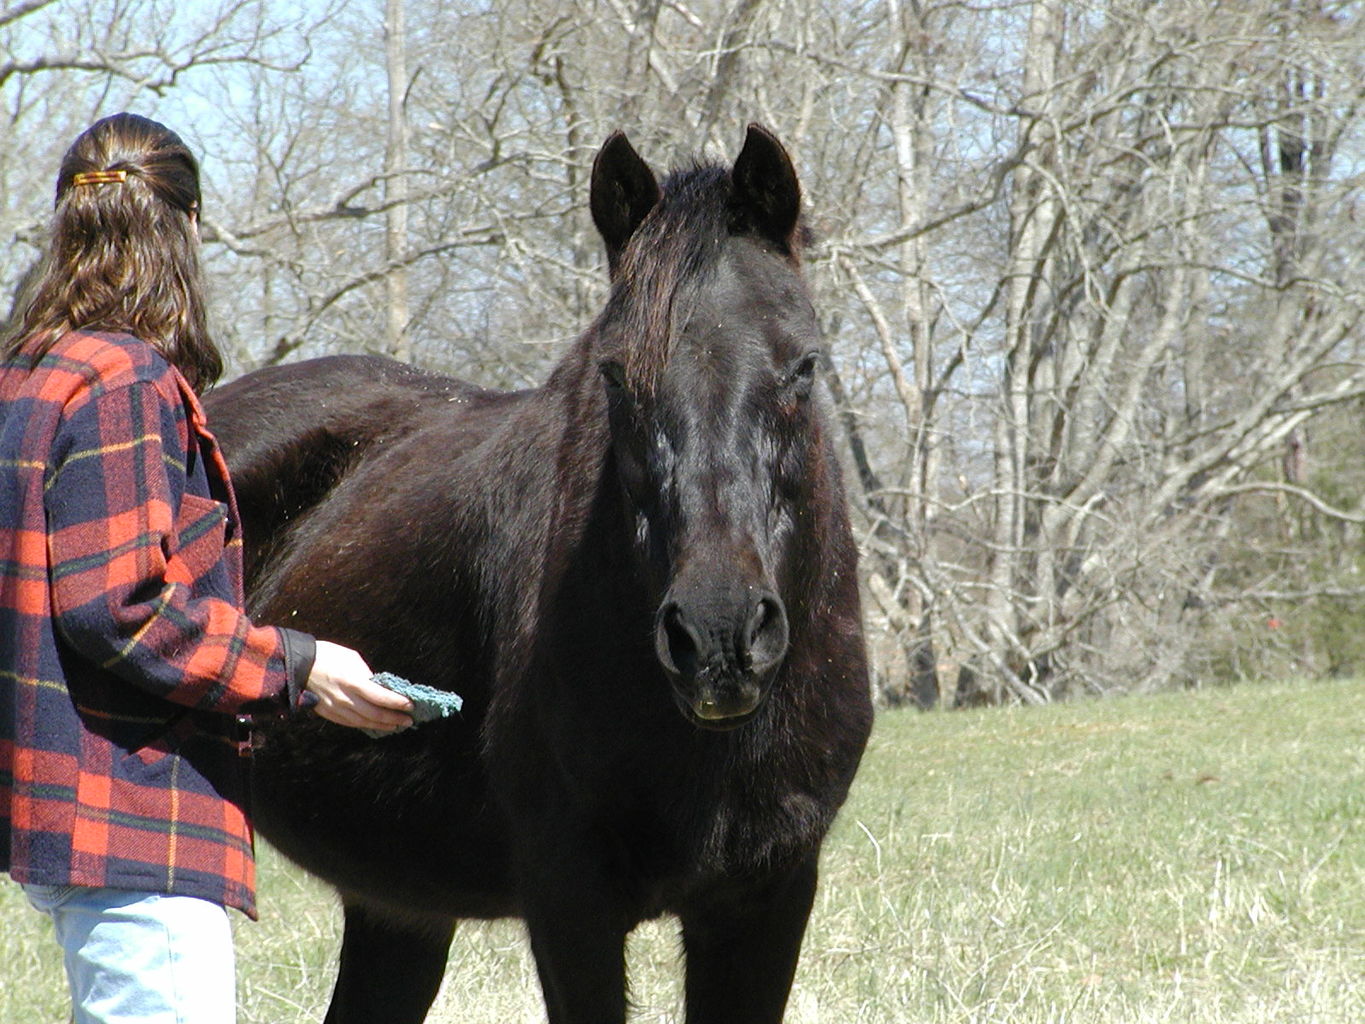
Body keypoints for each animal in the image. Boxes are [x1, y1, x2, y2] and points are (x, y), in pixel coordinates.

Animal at [210, 124, 873, 1021]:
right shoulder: (570, 904)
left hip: (399, 909)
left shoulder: (766, 899)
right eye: (616, 375)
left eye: (804, 366)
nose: (719, 636)